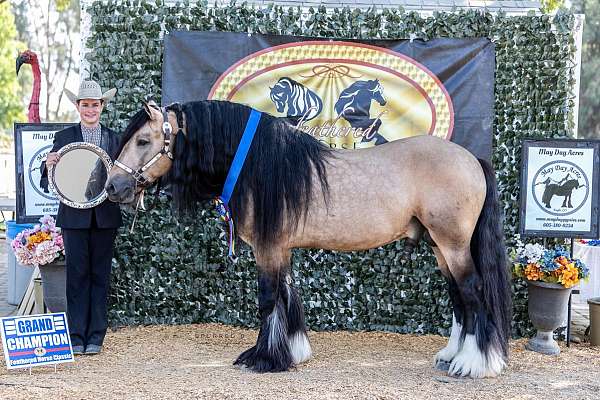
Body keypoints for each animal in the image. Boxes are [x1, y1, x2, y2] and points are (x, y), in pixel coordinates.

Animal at [106, 100, 510, 378]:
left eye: (143, 140)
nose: (113, 186)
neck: (257, 164)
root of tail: (471, 159)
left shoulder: (268, 249)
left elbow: (269, 299)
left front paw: (263, 359)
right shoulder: (280, 247)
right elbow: (288, 296)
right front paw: (294, 352)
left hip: (454, 245)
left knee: (472, 292)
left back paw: (473, 364)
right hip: (440, 247)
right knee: (458, 298)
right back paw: (452, 355)